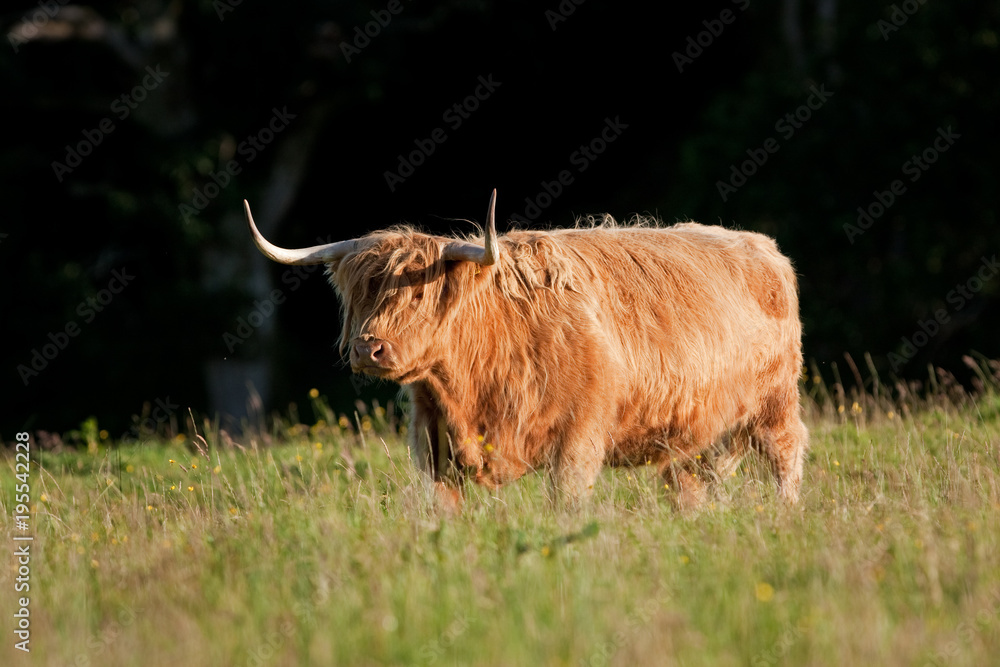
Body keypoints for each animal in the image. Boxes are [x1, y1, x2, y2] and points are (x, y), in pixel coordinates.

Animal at [244, 190, 808, 509]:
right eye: (359, 296)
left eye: (418, 293)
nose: (368, 349)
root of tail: (764, 247)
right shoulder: (433, 442)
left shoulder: (579, 441)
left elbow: (567, 506)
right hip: (694, 431)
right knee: (689, 482)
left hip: (775, 404)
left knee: (786, 456)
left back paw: (786, 517)